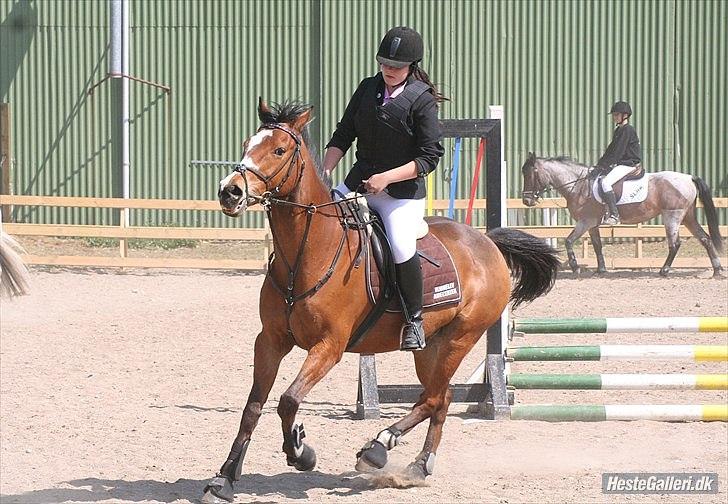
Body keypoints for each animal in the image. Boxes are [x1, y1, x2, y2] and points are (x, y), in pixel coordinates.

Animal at [203, 100, 556, 502]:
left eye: (278, 150)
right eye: (247, 144)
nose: (230, 192)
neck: (307, 254)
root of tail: (487, 242)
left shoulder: (329, 346)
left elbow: (289, 400)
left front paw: (301, 451)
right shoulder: (271, 341)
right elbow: (254, 407)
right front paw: (225, 478)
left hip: (460, 338)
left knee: (433, 397)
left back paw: (378, 447)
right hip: (430, 346)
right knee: (441, 396)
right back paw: (419, 465)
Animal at [520, 154, 724, 280]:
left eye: (530, 174)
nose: (526, 200)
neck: (578, 185)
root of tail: (689, 177)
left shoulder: (585, 222)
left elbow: (569, 241)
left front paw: (575, 267)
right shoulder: (592, 224)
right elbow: (597, 245)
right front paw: (601, 270)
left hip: (672, 216)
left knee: (675, 244)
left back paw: (664, 270)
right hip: (688, 217)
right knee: (705, 239)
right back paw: (717, 270)